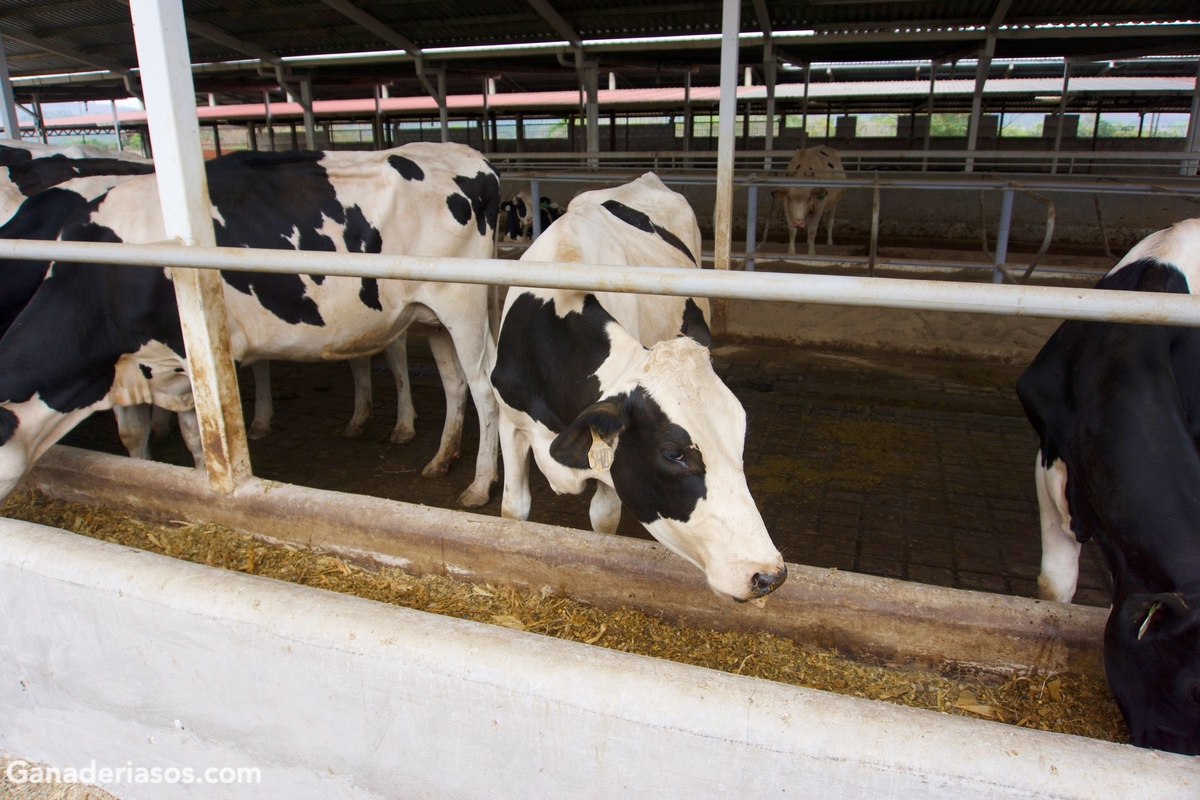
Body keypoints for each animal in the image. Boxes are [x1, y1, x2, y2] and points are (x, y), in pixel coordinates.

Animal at [0, 140, 499, 506]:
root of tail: (465, 154)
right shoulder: (126, 367)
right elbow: (138, 434)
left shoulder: (185, 359)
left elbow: (201, 439)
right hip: (431, 316)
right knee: (454, 384)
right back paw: (441, 458)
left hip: (463, 307)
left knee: (483, 389)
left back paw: (478, 486)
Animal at [489, 173, 787, 599]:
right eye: (674, 453)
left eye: (740, 435)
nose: (768, 574)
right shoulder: (509, 422)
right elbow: (513, 510)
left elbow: (603, 520)